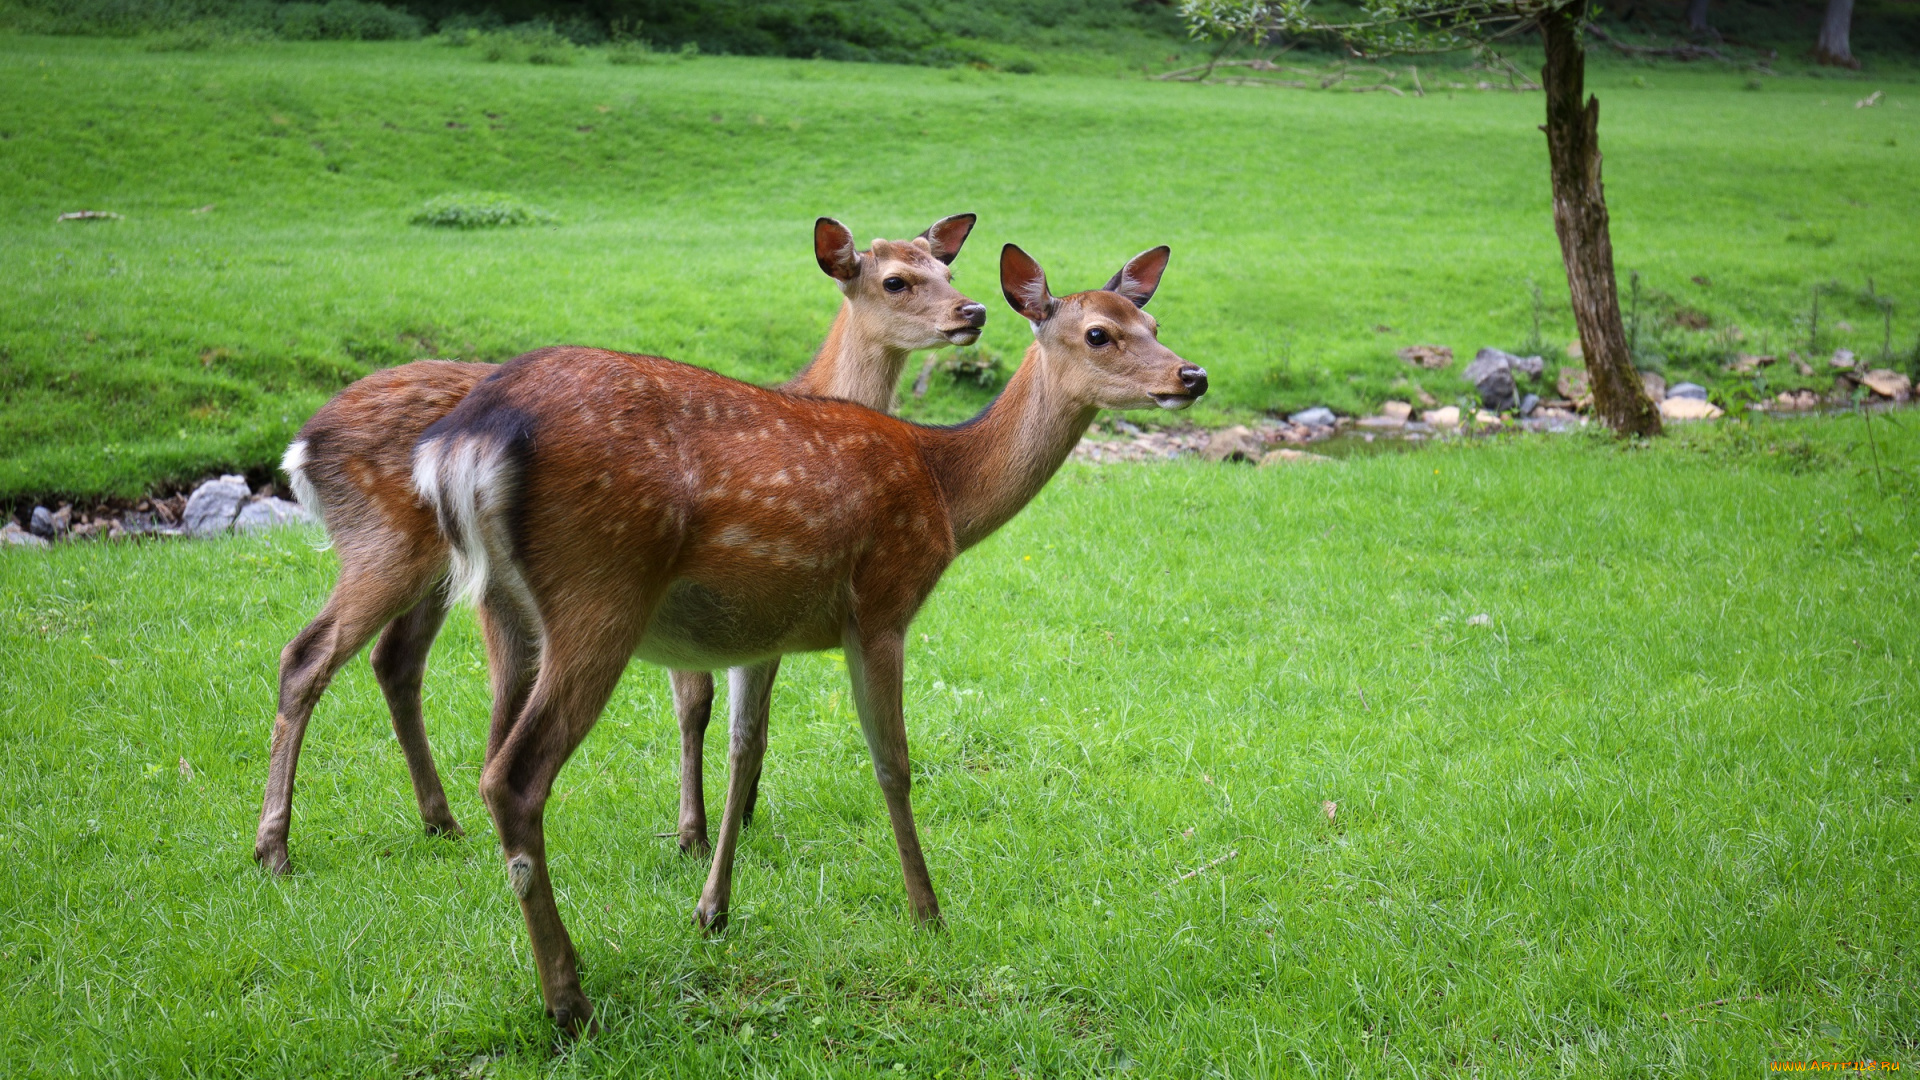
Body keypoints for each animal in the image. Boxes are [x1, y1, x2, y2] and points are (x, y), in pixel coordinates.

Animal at [253, 212, 983, 876]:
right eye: (894, 281)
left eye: (947, 271)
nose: (971, 311)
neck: (812, 397)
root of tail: (301, 449)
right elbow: (696, 704)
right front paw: (696, 832)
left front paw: (737, 817)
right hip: (389, 546)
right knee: (309, 655)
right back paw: (276, 847)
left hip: (437, 573)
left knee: (396, 660)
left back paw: (441, 821)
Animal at [418, 242, 1205, 1022]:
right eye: (1099, 333)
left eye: (1154, 320)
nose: (1190, 375)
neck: (944, 490)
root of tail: (462, 442)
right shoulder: (883, 605)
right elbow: (893, 764)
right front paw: (928, 913)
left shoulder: (761, 629)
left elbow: (745, 748)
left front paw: (712, 909)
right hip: (598, 592)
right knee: (515, 777)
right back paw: (568, 996)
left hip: (505, 607)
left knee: (492, 752)